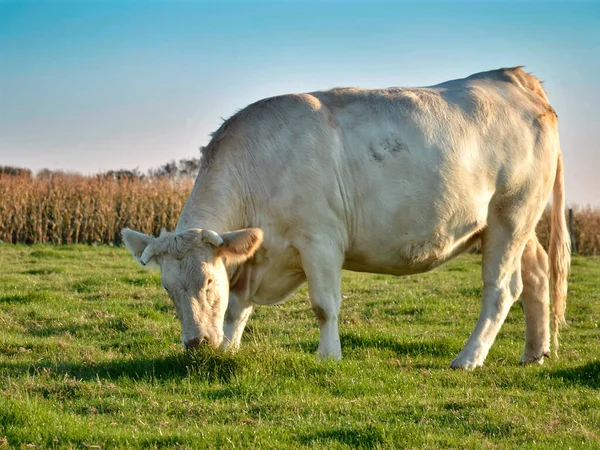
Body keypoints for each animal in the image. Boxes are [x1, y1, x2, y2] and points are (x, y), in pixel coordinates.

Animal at [123, 67, 572, 370]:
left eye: (209, 281)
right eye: (168, 289)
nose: (196, 344)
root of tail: (510, 77)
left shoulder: (320, 240)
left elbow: (324, 305)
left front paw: (328, 357)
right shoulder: (259, 255)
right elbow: (238, 307)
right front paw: (230, 348)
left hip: (510, 216)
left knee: (501, 289)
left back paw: (468, 358)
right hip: (517, 222)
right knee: (535, 273)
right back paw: (535, 353)